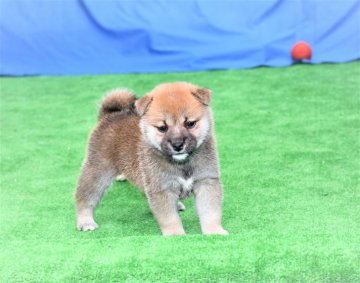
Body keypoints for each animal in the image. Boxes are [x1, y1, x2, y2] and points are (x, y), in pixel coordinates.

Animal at [75, 82, 228, 237]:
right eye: (162, 127)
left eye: (190, 123)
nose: (177, 145)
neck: (182, 164)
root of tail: (110, 115)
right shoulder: (161, 188)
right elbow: (170, 218)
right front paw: (175, 235)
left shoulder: (206, 182)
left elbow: (210, 212)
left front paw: (214, 231)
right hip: (98, 172)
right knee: (85, 198)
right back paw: (85, 221)